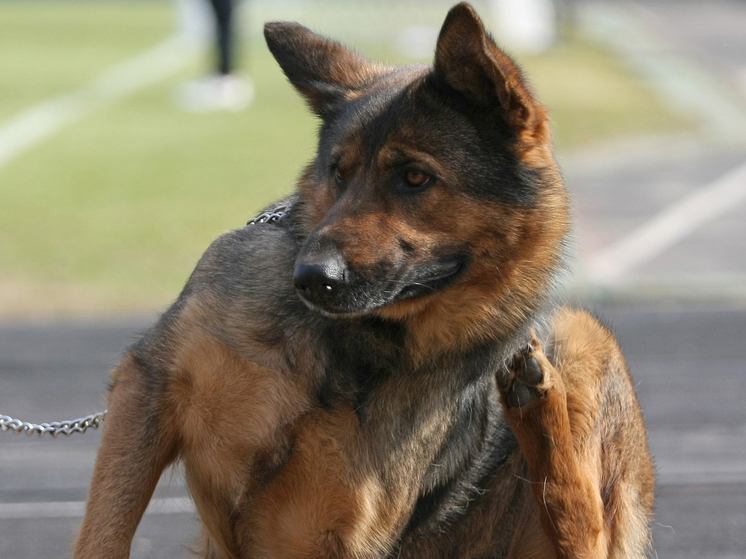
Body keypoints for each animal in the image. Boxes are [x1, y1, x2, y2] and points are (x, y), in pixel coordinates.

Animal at [70, 3, 652, 556]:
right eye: (338, 173)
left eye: (415, 177)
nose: (310, 279)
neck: (351, 346)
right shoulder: (147, 388)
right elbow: (104, 532)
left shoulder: (330, 532)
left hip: (583, 338)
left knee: (585, 524)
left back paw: (539, 408)